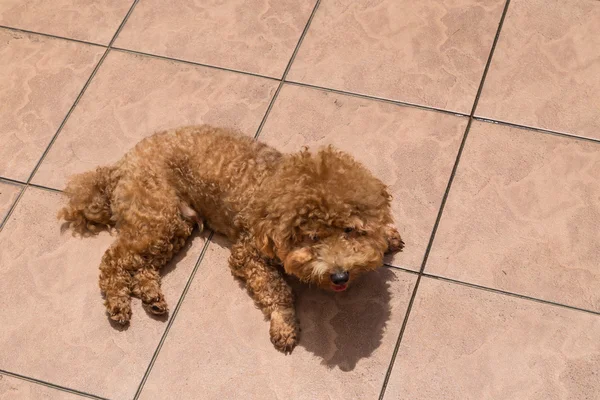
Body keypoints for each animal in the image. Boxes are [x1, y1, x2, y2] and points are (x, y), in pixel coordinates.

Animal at [59, 126, 404, 354]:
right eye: (313, 237)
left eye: (350, 230)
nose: (340, 276)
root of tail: (118, 167)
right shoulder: (248, 253)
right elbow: (277, 291)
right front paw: (284, 325)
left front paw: (387, 236)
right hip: (155, 218)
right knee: (114, 259)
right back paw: (118, 303)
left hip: (173, 227)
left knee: (142, 264)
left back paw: (151, 296)